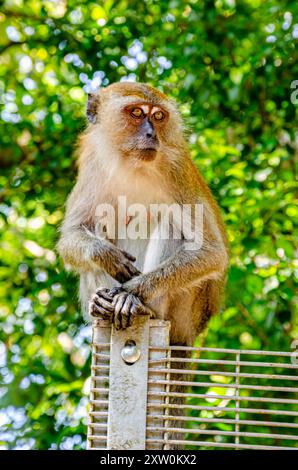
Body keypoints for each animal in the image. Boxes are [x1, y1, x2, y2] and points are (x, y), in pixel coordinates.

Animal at [57, 81, 228, 346]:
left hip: (185, 310)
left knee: (170, 222)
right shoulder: (93, 163)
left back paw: (138, 305)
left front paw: (130, 290)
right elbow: (72, 234)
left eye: (158, 116)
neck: (132, 164)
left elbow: (211, 251)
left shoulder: (176, 169)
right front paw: (105, 255)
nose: (151, 134)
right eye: (137, 112)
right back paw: (100, 305)